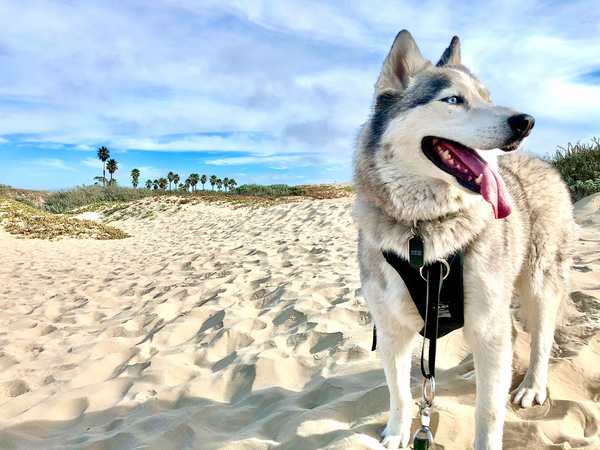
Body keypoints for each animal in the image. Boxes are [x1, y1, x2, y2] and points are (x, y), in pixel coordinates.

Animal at [354, 29, 576, 448]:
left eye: (487, 97)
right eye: (454, 100)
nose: (526, 122)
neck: (424, 231)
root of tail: (542, 161)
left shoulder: (488, 320)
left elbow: (488, 412)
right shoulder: (391, 329)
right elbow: (399, 391)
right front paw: (396, 433)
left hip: (538, 283)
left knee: (540, 340)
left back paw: (531, 386)